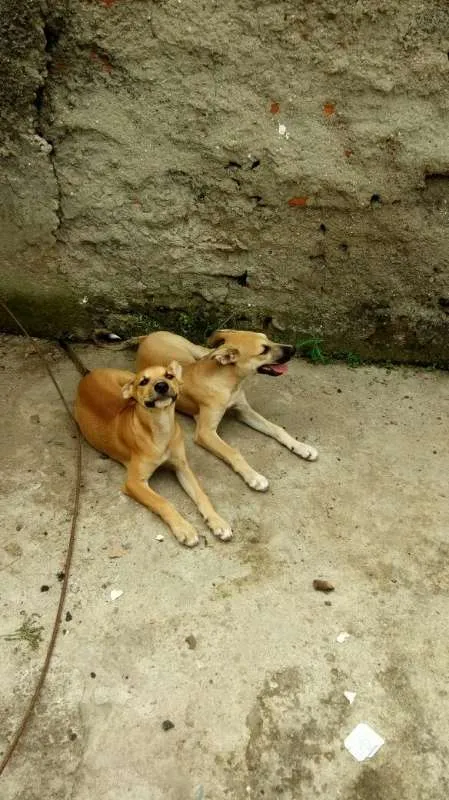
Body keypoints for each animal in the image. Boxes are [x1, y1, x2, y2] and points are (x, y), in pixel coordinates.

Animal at [73, 364, 231, 548]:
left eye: (169, 375)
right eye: (143, 381)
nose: (161, 386)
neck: (161, 428)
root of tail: (88, 375)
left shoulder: (182, 467)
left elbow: (201, 495)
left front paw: (217, 521)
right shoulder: (134, 483)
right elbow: (163, 502)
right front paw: (184, 528)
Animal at [135, 328, 316, 490]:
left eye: (268, 339)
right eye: (264, 350)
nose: (294, 348)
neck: (227, 381)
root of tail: (148, 336)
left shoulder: (244, 411)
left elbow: (277, 428)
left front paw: (301, 447)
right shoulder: (205, 432)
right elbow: (232, 452)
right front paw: (254, 476)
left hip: (196, 350)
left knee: (207, 351)